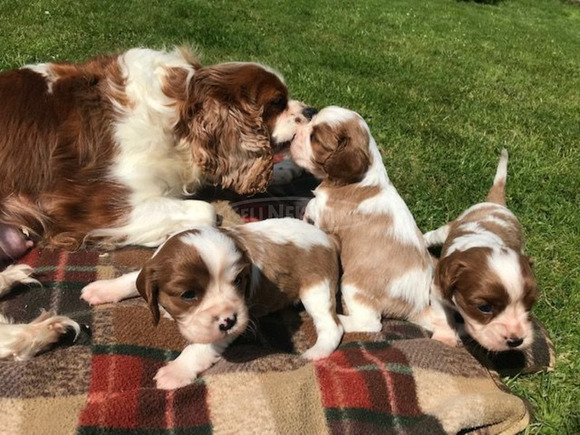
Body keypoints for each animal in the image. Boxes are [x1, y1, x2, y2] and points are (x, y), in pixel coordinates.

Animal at [81, 220, 344, 390]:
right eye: (188, 294)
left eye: (238, 281)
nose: (230, 321)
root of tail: (327, 237)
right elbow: (130, 279)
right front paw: (103, 288)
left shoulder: (237, 320)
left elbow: (199, 348)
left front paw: (176, 371)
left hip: (316, 288)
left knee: (332, 326)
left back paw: (316, 353)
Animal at [288, 106, 456, 344]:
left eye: (314, 138)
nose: (294, 135)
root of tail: (418, 306)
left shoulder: (324, 214)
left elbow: (312, 207)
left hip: (353, 285)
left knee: (370, 323)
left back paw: (341, 318)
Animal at [422, 148, 540, 352]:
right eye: (484, 308)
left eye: (529, 304)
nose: (516, 341)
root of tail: (497, 204)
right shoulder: (438, 289)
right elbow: (443, 316)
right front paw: (445, 338)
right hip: (447, 229)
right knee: (431, 235)